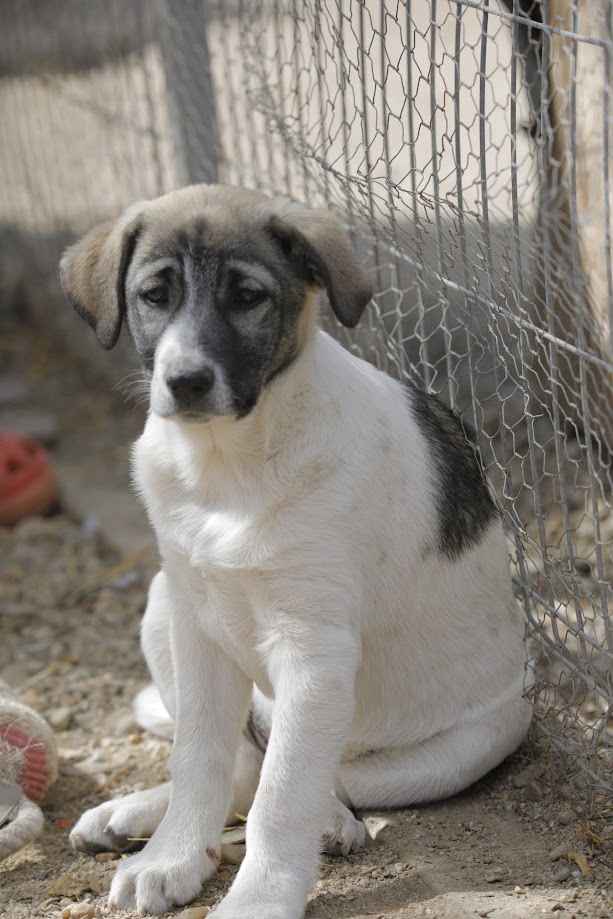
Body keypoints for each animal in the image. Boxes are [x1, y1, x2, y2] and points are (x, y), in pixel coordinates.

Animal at [62, 187, 532, 919]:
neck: (229, 464)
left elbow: (282, 798)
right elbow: (198, 760)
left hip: (474, 736)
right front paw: (172, 857)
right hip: (162, 603)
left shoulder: (314, 650)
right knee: (242, 767)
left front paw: (257, 899)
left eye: (247, 296)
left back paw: (334, 823)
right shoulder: (197, 623)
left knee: (317, 779)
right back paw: (136, 817)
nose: (186, 380)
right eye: (154, 295)